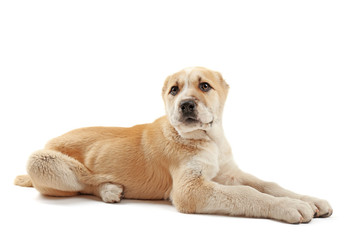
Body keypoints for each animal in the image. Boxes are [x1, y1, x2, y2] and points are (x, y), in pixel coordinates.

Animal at [15, 66, 334, 223]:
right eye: (174, 90)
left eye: (204, 86)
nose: (186, 104)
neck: (208, 139)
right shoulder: (190, 189)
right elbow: (247, 193)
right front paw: (291, 206)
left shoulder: (228, 173)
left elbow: (267, 184)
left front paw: (310, 199)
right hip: (41, 160)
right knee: (83, 182)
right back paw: (109, 189)